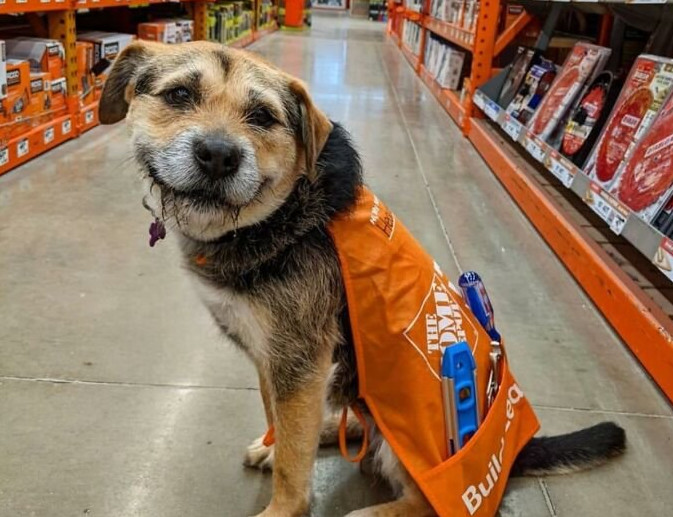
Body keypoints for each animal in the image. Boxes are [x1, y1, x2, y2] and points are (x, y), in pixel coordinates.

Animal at [99, 40, 626, 517]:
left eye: (263, 117)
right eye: (179, 95)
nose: (217, 155)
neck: (279, 218)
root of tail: (513, 453)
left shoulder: (299, 361)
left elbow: (293, 465)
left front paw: (284, 504)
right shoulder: (277, 360)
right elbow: (281, 424)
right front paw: (276, 445)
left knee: (420, 502)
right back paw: (334, 428)